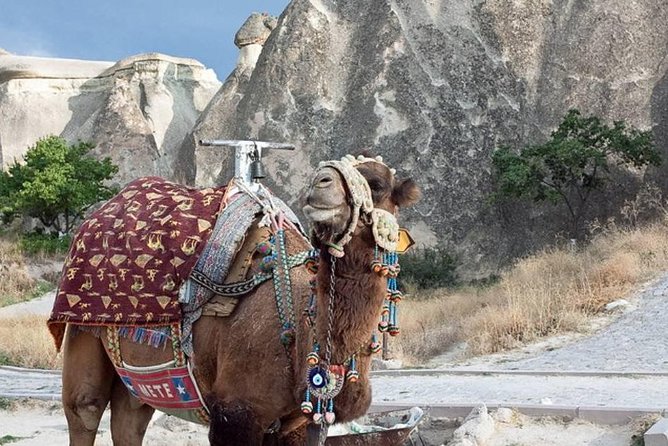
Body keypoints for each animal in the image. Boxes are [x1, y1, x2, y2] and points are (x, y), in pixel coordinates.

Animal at [51, 152, 418, 442]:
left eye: (377, 183)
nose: (320, 182)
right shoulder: (235, 413)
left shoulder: (296, 424)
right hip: (82, 328)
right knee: (85, 408)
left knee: (130, 417)